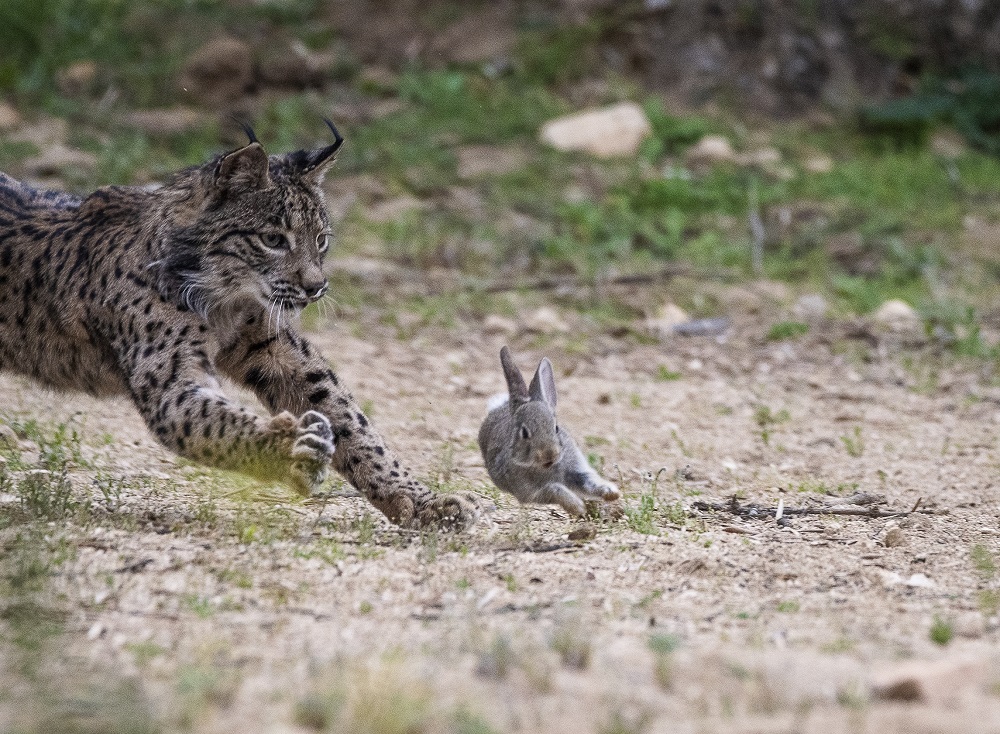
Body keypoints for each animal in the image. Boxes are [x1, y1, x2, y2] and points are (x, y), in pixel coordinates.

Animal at [476, 344, 616, 516]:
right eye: (524, 433)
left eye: (556, 428)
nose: (549, 454)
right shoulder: (531, 492)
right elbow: (553, 489)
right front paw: (577, 507)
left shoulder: (576, 471)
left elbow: (589, 481)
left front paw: (611, 493)